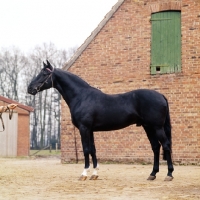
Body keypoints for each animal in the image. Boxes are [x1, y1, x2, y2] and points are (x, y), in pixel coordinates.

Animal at [27, 60, 173, 180]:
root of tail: (161, 95)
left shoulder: (84, 128)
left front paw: (84, 174)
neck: (81, 96)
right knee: (156, 147)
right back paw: (152, 174)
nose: (30, 88)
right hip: (148, 127)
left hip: (157, 127)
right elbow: (93, 150)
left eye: (44, 74)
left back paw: (169, 174)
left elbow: (86, 149)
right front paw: (95, 174)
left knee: (165, 145)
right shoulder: (90, 130)